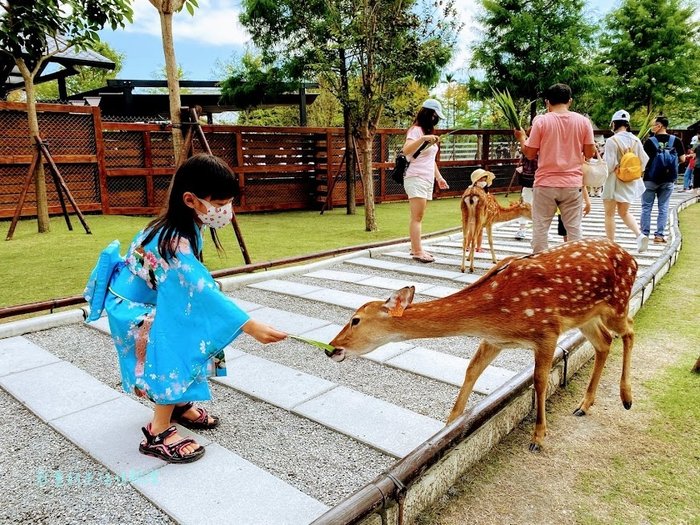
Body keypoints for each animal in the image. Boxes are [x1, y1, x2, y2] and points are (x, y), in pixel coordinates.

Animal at [328, 239, 640, 448]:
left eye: (355, 320)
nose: (331, 348)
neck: (493, 312)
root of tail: (633, 259)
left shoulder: (546, 331)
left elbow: (540, 380)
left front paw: (538, 437)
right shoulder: (494, 339)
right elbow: (471, 371)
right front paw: (447, 426)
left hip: (616, 304)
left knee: (629, 330)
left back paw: (626, 398)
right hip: (587, 316)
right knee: (604, 342)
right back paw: (584, 405)